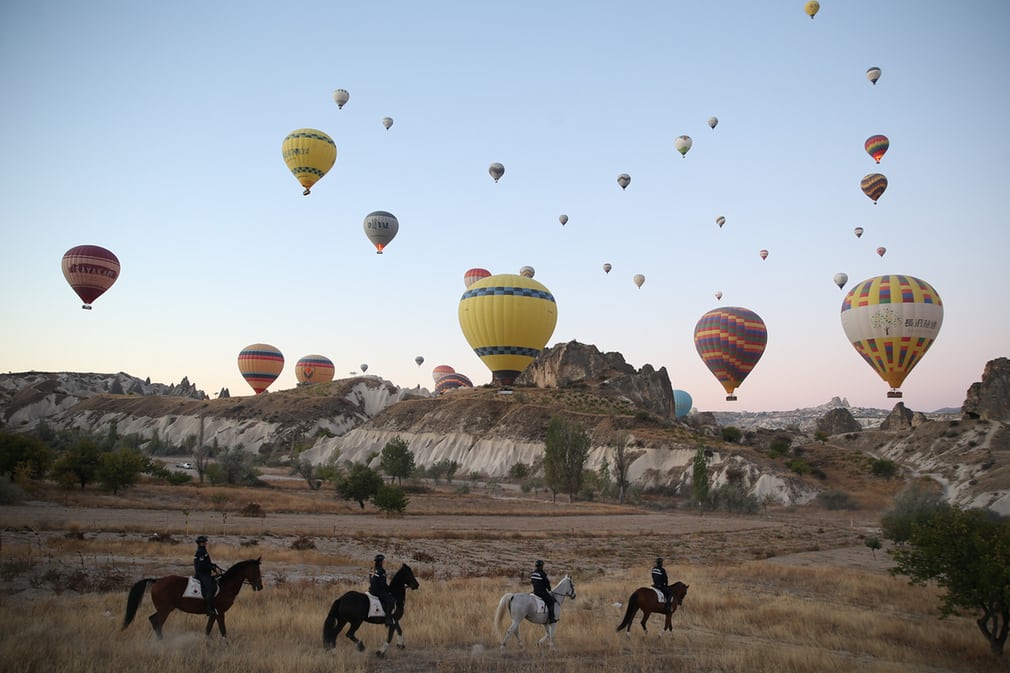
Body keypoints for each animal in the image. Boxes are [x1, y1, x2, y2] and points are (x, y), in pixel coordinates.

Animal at [120, 553, 264, 638]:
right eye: (256, 570)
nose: (260, 586)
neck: (225, 586)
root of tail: (157, 580)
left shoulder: (214, 613)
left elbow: (208, 630)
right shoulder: (220, 613)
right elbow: (223, 631)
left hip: (164, 609)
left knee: (153, 620)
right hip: (165, 609)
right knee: (157, 622)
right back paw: (161, 642)